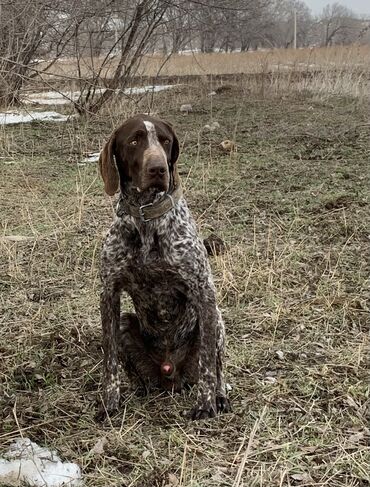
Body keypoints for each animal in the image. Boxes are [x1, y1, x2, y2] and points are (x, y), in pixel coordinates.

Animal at [99, 114, 230, 420]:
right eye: (134, 140)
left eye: (165, 140)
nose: (158, 168)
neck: (146, 221)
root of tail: (171, 375)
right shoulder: (109, 294)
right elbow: (110, 362)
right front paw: (110, 403)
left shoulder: (204, 292)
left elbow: (209, 365)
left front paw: (205, 404)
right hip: (125, 324)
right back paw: (140, 389)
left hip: (216, 320)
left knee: (216, 368)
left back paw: (219, 397)